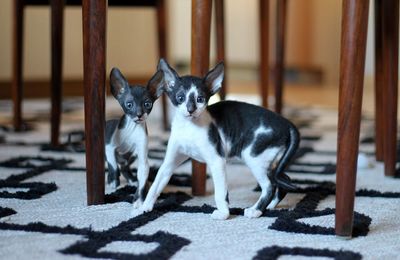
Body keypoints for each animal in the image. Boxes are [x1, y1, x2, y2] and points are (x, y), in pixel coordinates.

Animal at [106, 66, 164, 207]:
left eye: (147, 104)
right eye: (129, 104)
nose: (139, 114)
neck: (131, 129)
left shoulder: (143, 160)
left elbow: (142, 179)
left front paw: (139, 200)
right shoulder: (109, 146)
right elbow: (113, 164)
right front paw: (113, 181)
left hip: (131, 155)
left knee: (124, 166)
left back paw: (132, 180)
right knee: (116, 164)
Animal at [138, 59, 300, 219]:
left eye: (200, 99)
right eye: (180, 98)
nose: (190, 110)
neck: (189, 127)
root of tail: (286, 123)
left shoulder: (217, 160)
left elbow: (220, 191)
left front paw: (223, 213)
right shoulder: (169, 163)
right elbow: (155, 185)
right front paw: (143, 207)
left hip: (254, 157)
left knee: (269, 185)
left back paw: (256, 210)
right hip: (270, 160)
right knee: (283, 179)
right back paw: (270, 206)